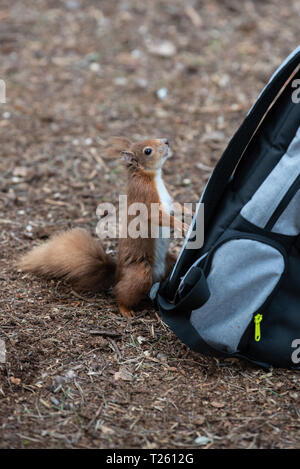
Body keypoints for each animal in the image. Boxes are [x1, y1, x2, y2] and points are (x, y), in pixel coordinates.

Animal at [19, 137, 190, 316]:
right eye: (147, 151)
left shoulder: (168, 200)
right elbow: (155, 215)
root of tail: (117, 274)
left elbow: (176, 207)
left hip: (169, 263)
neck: (152, 177)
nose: (166, 141)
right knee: (121, 292)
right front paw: (182, 226)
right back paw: (125, 309)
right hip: (139, 273)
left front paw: (190, 212)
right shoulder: (144, 196)